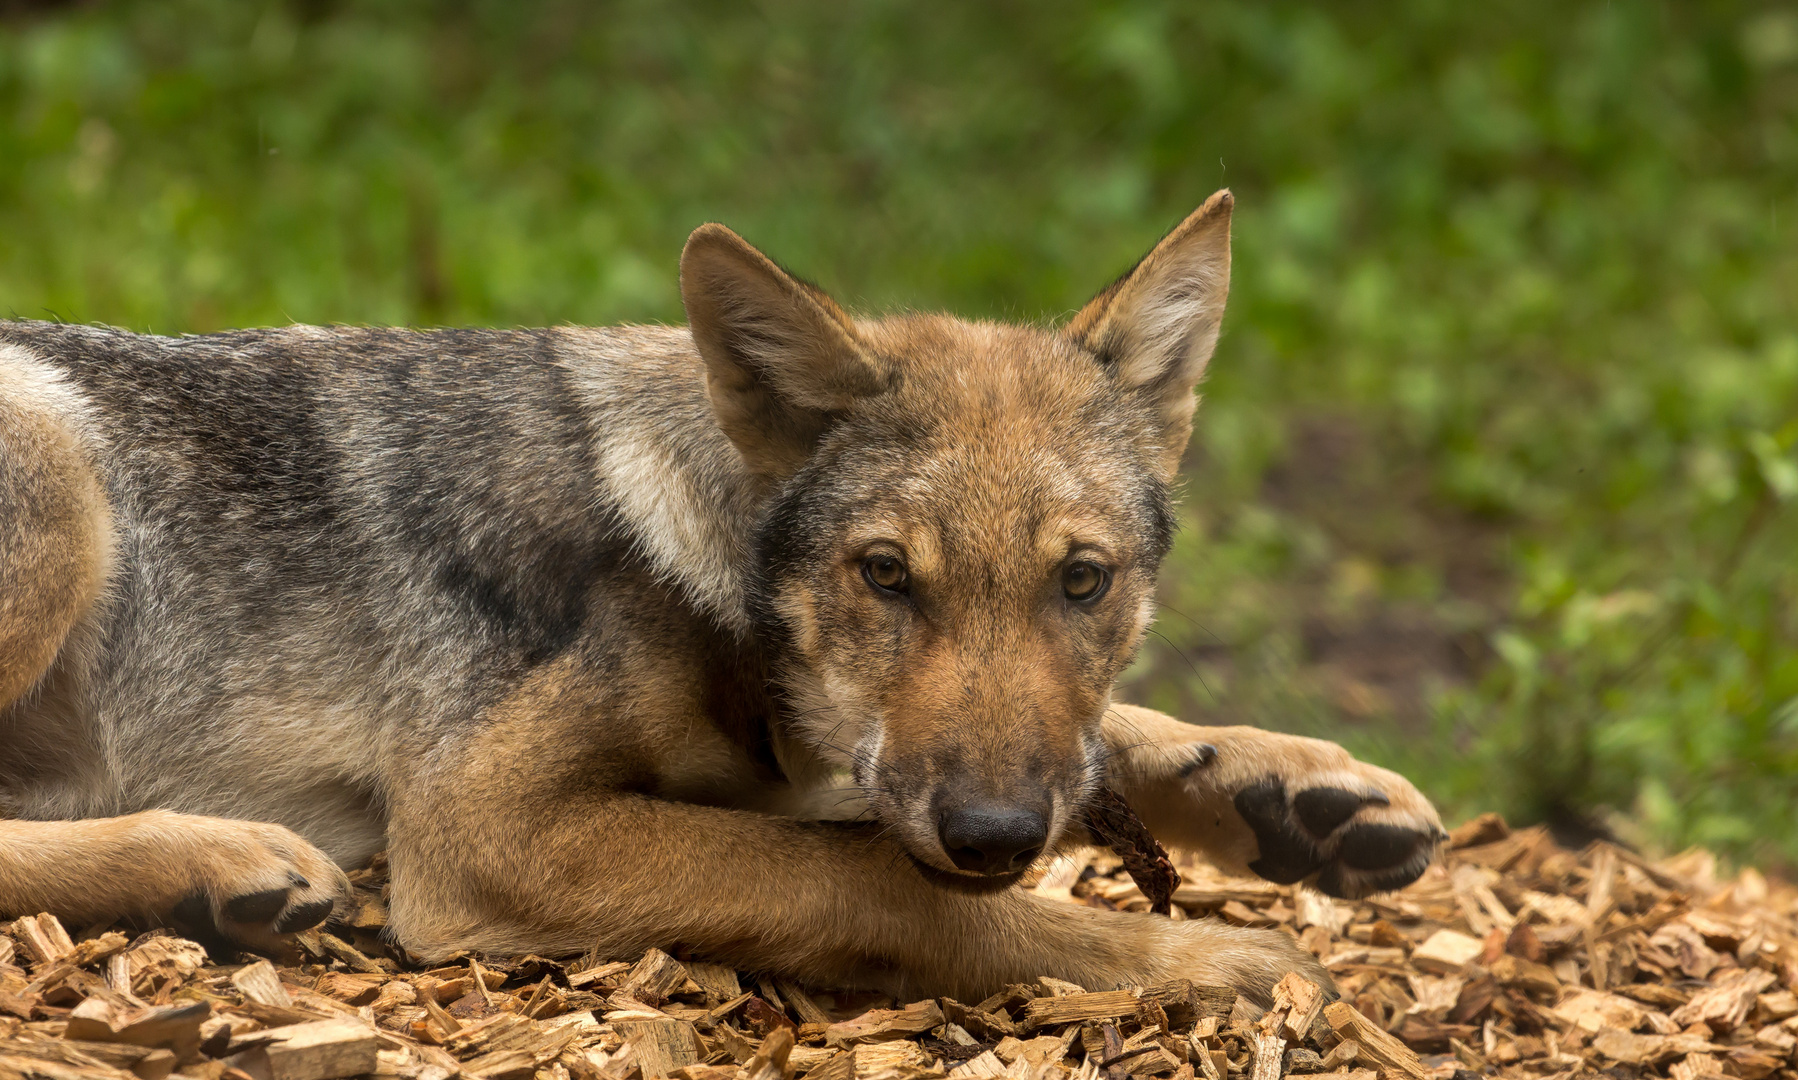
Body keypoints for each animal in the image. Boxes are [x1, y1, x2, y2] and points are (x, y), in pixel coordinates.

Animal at [0, 187, 1431, 999]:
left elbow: (1105, 737)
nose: (993, 835)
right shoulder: (485, 827)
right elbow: (874, 885)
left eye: (1082, 582)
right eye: (885, 576)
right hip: (62, 477)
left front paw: (1303, 788)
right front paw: (1195, 961)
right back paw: (218, 860)